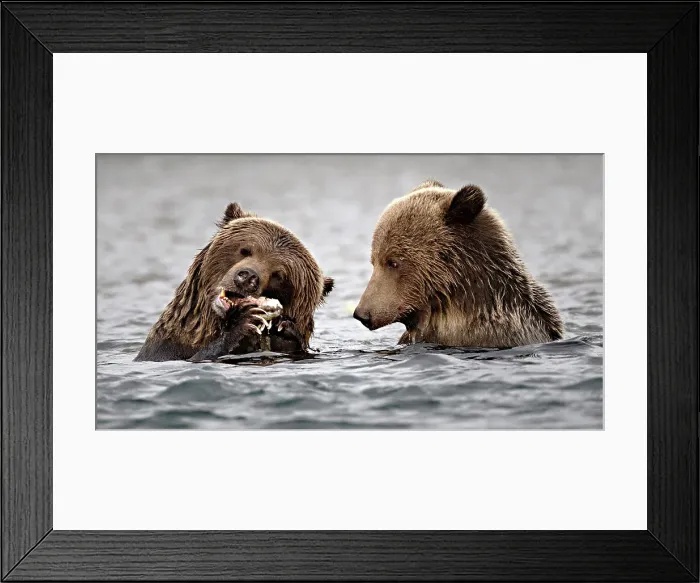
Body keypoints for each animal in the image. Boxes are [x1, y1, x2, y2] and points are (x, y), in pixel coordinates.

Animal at [134, 202, 334, 362]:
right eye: (245, 250)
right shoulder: (165, 349)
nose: (247, 277)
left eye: (279, 275)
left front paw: (285, 330)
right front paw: (244, 321)